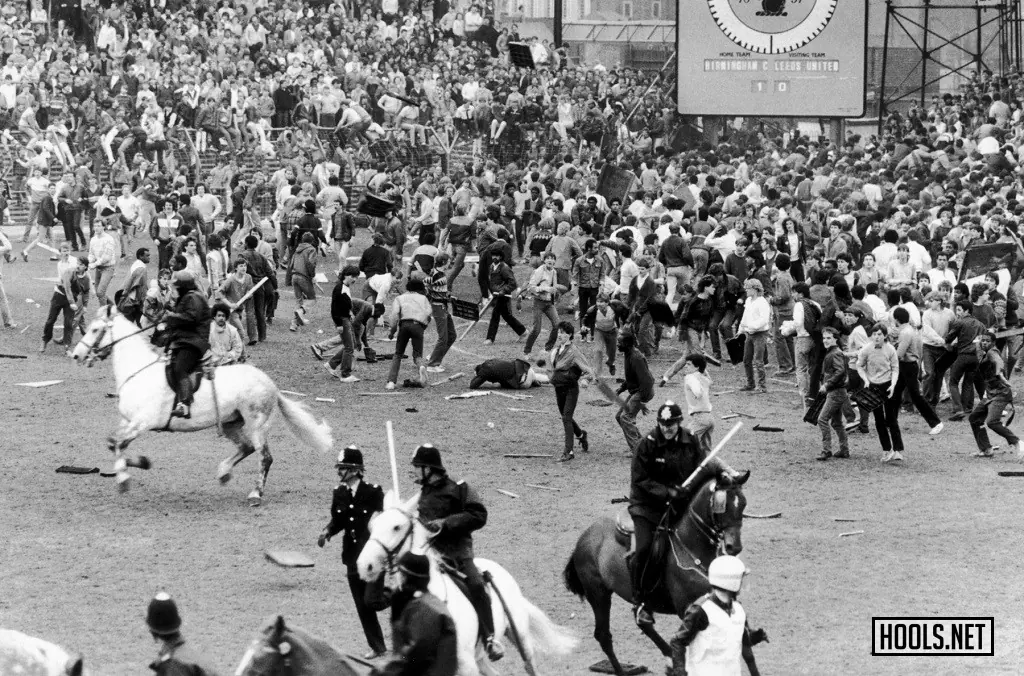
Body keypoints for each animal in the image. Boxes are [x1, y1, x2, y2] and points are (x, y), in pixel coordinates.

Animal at [71, 305, 331, 501]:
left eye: (95, 329)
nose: (76, 355)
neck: (138, 371)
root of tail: (271, 384)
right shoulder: (129, 422)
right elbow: (113, 443)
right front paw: (141, 463)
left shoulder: (141, 423)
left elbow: (117, 444)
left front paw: (124, 478)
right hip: (231, 423)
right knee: (246, 448)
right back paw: (224, 472)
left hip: (257, 424)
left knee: (264, 457)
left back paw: (255, 493)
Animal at [356, 491, 573, 676]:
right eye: (372, 526)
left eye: (396, 527)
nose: (364, 565)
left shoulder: (465, 665)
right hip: (482, 656)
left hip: (519, 636)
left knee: (530, 666)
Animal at [565, 475, 765, 676]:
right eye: (722, 505)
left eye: (742, 504)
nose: (734, 546)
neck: (691, 549)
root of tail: (584, 537)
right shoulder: (689, 609)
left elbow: (746, 651)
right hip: (599, 594)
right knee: (604, 636)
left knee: (642, 623)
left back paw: (668, 656)